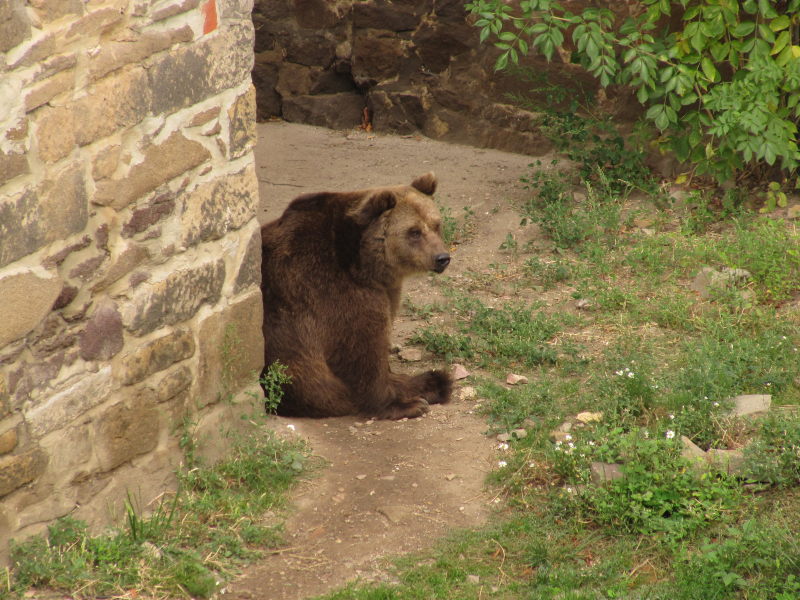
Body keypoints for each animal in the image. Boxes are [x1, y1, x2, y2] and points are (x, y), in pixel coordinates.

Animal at [260, 172, 454, 418]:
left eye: (436, 225)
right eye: (414, 231)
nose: (442, 258)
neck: (364, 263)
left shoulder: (385, 290)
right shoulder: (333, 291)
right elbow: (363, 352)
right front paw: (404, 404)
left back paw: (435, 381)